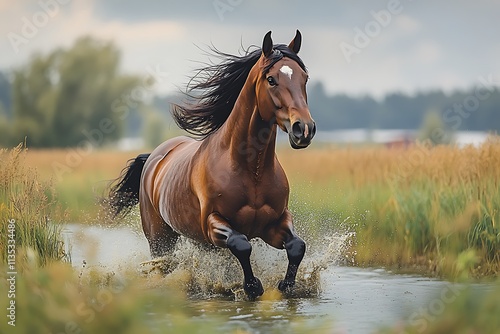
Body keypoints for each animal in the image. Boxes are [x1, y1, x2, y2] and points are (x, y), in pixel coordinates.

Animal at [109, 30, 316, 298]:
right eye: (271, 79)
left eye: (304, 78)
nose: (304, 129)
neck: (252, 170)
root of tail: (153, 158)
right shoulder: (213, 224)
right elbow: (241, 244)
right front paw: (252, 287)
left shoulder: (274, 222)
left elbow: (297, 246)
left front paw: (286, 285)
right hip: (160, 238)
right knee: (163, 263)